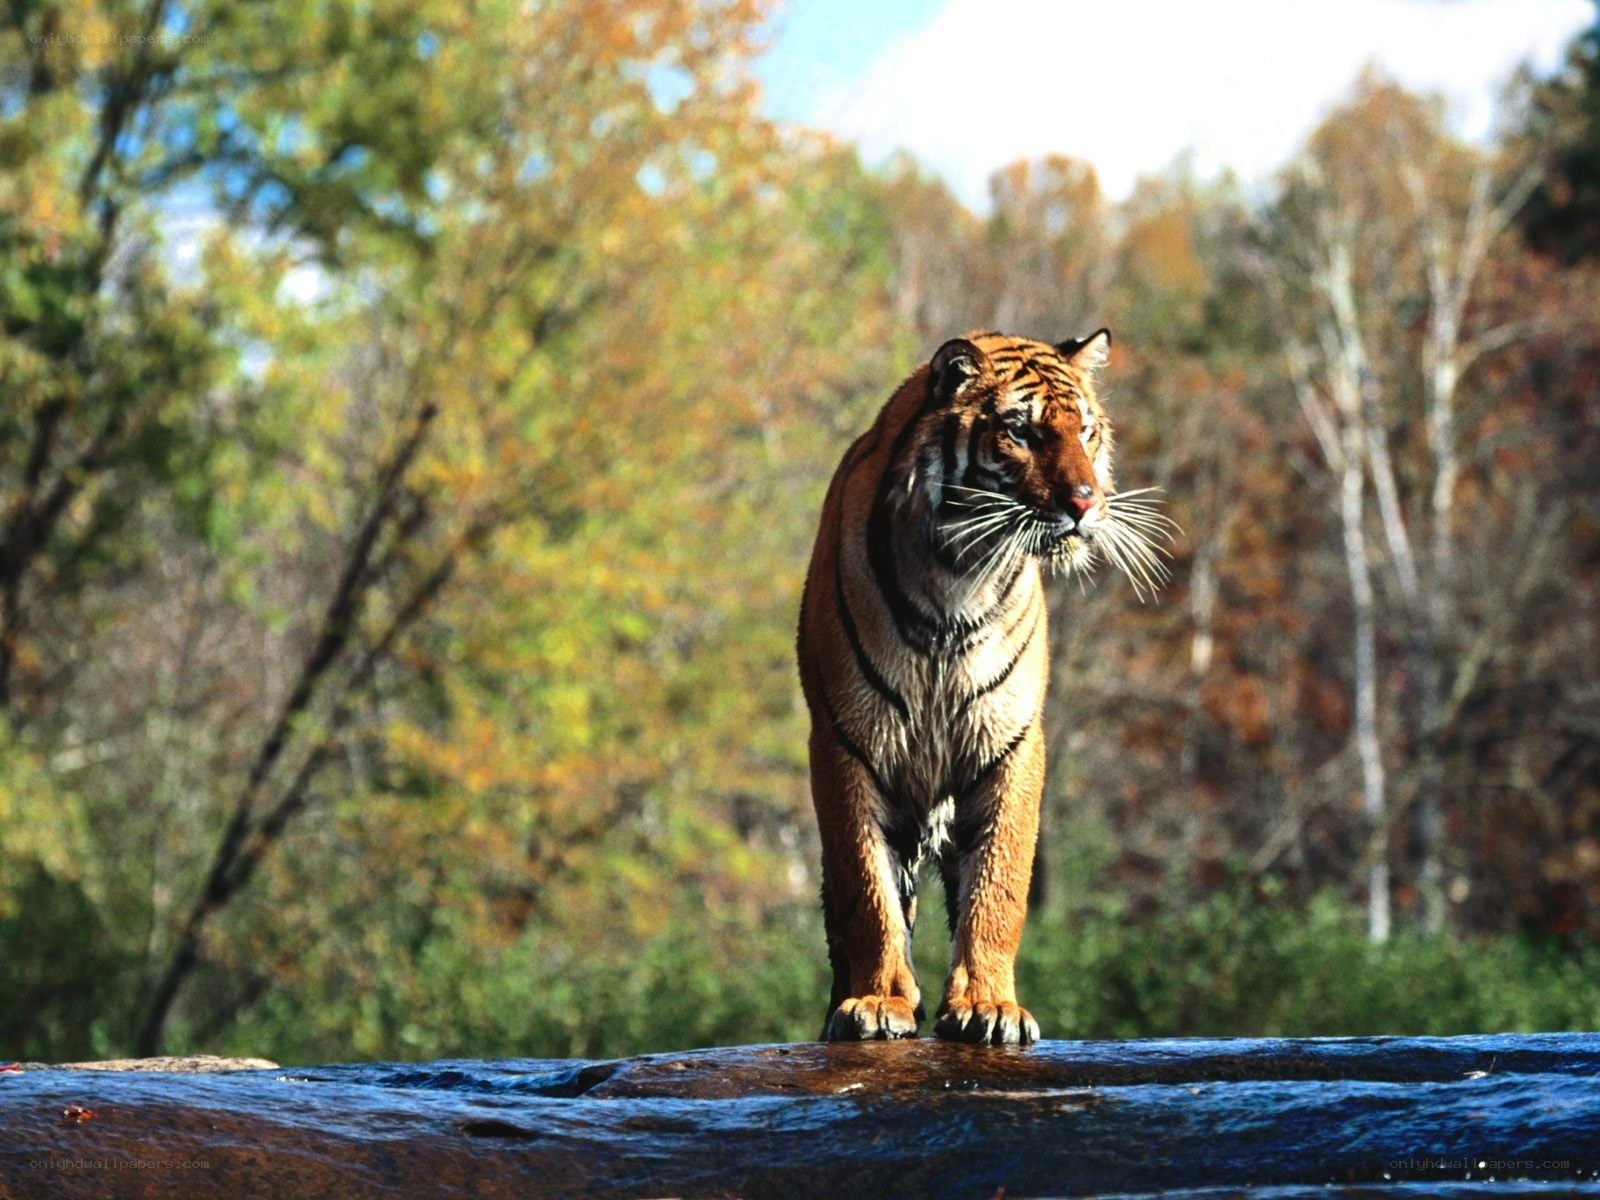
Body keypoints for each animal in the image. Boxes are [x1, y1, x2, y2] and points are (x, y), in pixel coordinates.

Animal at [796, 328, 1172, 1044]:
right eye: (1022, 432)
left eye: (1086, 430)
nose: (1086, 503)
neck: (956, 575)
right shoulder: (846, 742)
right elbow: (867, 890)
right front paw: (878, 1002)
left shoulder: (1012, 744)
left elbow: (999, 884)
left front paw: (988, 1005)